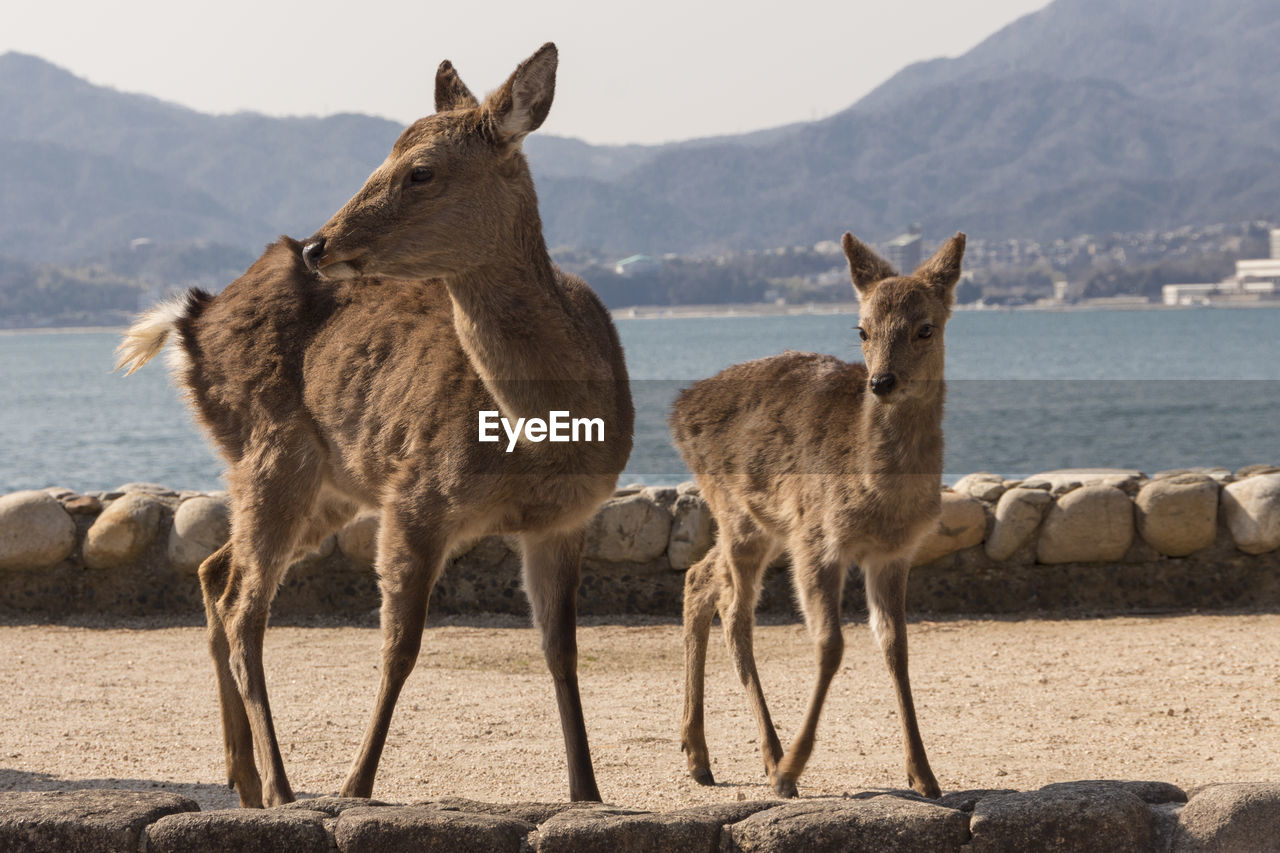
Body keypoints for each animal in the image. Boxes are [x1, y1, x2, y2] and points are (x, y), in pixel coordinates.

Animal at [116, 44, 634, 804]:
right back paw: (283, 788)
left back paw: (245, 779)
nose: (319, 246)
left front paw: (588, 792)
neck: (538, 442)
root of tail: (189, 322)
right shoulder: (417, 494)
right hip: (273, 449)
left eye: (421, 170)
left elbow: (562, 650)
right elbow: (400, 646)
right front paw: (355, 786)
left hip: (327, 486)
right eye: (382, 156)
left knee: (216, 572)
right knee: (245, 604)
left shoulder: (565, 519)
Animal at [675, 229, 962, 794]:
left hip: (757, 524)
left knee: (699, 579)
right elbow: (830, 646)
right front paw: (792, 769)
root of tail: (678, 411)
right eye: (862, 329)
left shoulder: (894, 553)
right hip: (737, 511)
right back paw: (769, 759)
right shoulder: (817, 538)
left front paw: (924, 775)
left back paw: (698, 755)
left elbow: (897, 648)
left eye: (926, 328)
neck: (879, 498)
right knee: (734, 612)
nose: (881, 382)